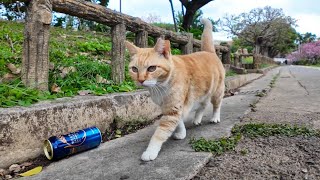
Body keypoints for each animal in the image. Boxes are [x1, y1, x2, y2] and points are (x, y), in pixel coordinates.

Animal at [125, 18, 225, 162]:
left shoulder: (172, 109)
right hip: (201, 95)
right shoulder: (172, 108)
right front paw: (181, 132)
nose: (140, 80)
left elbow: (159, 133)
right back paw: (197, 119)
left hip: (217, 92)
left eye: (151, 68)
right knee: (203, 106)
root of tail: (209, 52)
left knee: (216, 105)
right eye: (134, 69)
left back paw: (215, 118)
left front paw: (150, 151)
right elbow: (179, 121)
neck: (160, 87)